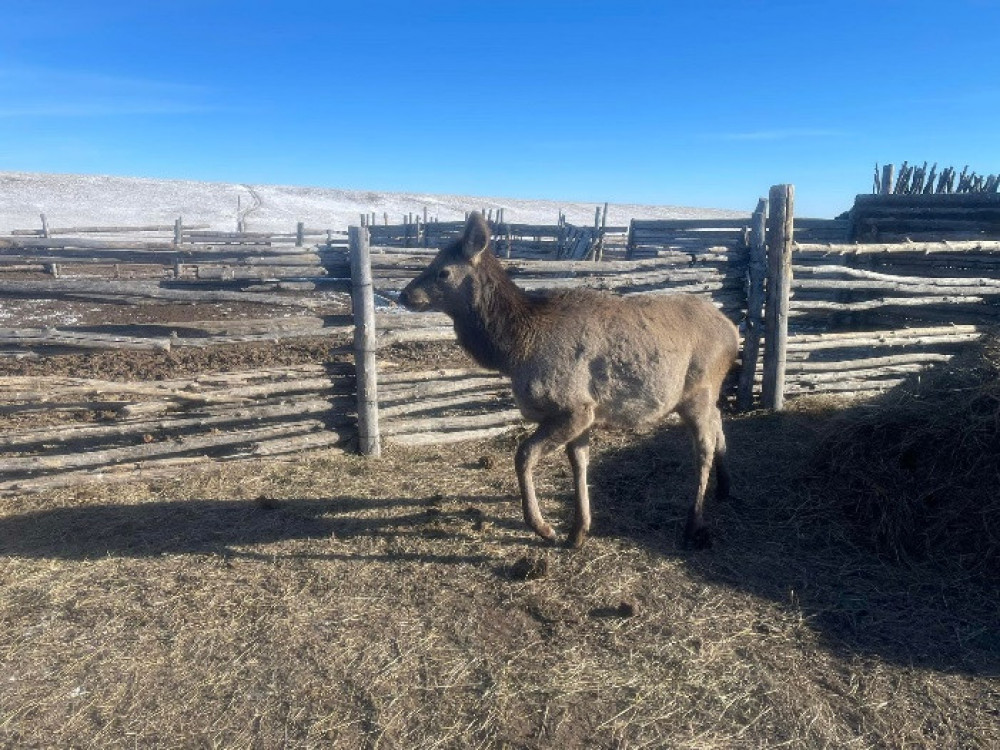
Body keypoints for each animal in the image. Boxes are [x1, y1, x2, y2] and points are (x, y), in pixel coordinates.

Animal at [396, 214, 736, 548]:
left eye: (443, 271)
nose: (404, 294)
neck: (514, 350)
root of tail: (734, 332)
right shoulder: (585, 412)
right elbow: (579, 463)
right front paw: (578, 530)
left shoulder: (573, 408)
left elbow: (524, 455)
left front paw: (543, 527)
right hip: (704, 394)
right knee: (719, 420)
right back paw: (724, 487)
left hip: (698, 390)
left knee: (703, 447)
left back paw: (694, 524)